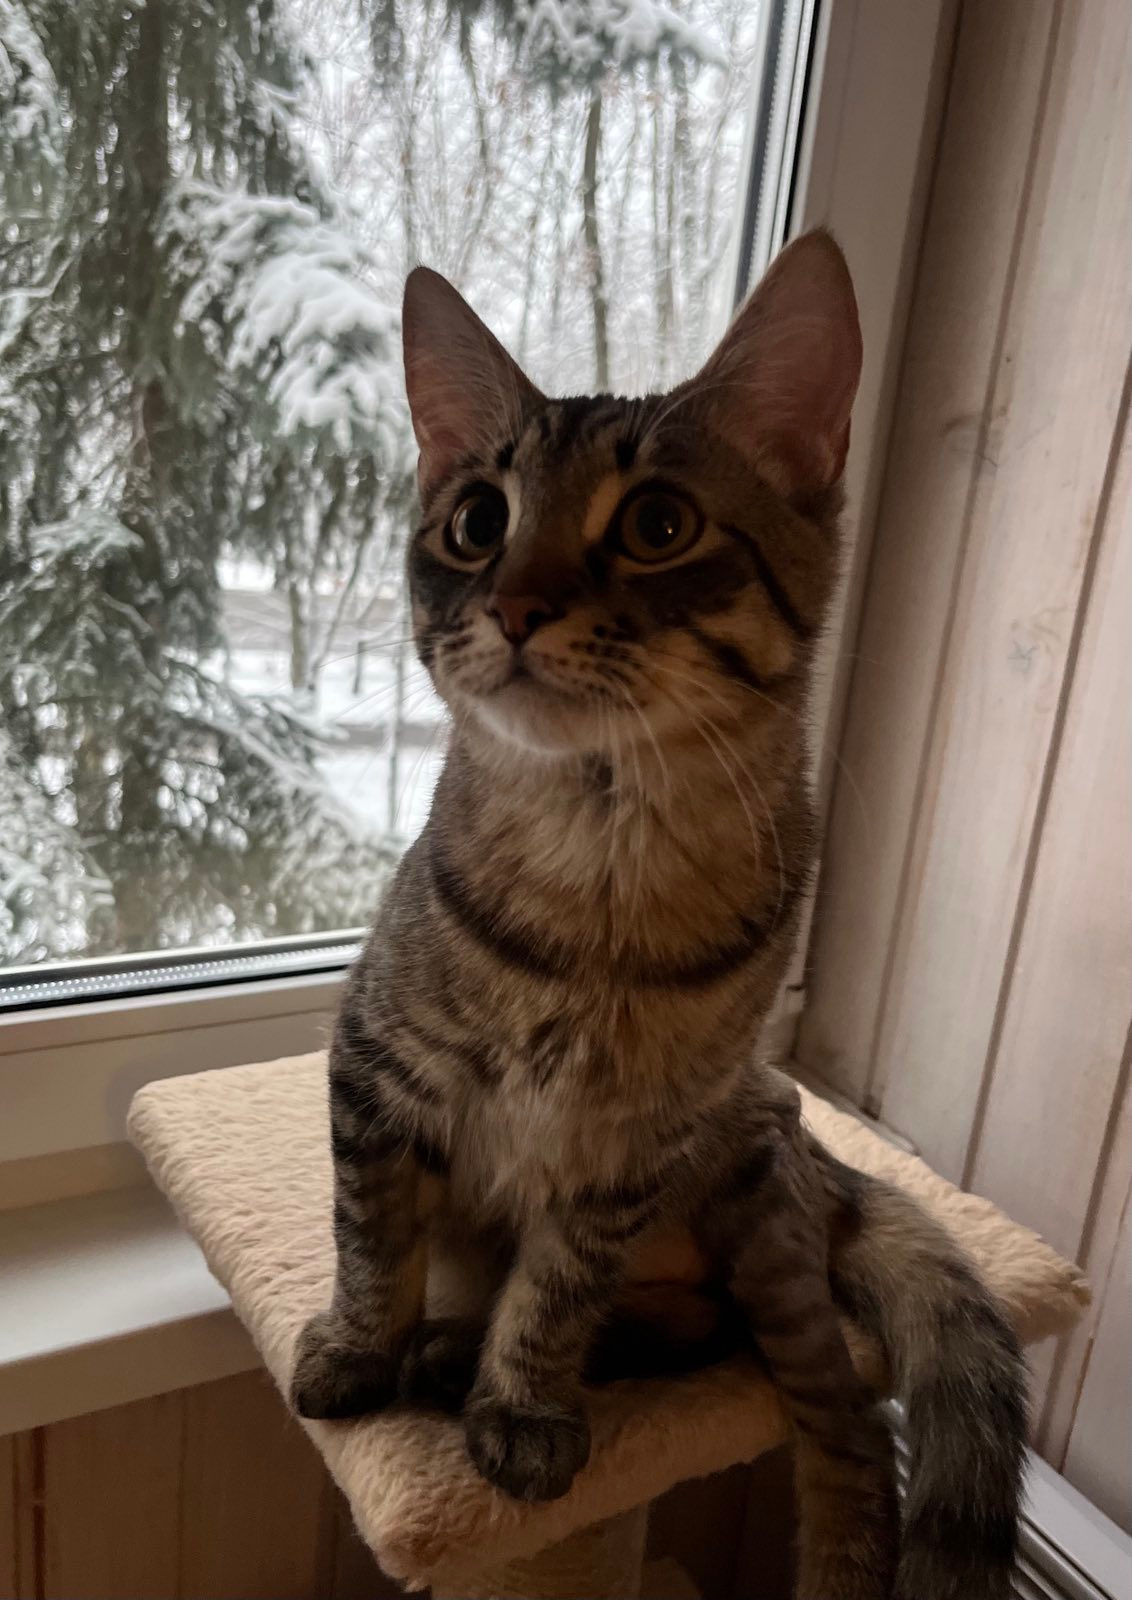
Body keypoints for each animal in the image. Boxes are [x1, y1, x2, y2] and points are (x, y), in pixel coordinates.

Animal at [290, 231, 1027, 1600]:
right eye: (477, 522)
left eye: (658, 525)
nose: (515, 604)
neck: (596, 867)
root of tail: (824, 1160)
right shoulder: (375, 1074)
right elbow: (373, 1239)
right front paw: (363, 1349)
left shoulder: (623, 1149)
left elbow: (554, 1293)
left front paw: (519, 1402)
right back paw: (437, 1346)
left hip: (753, 1213)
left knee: (827, 1413)